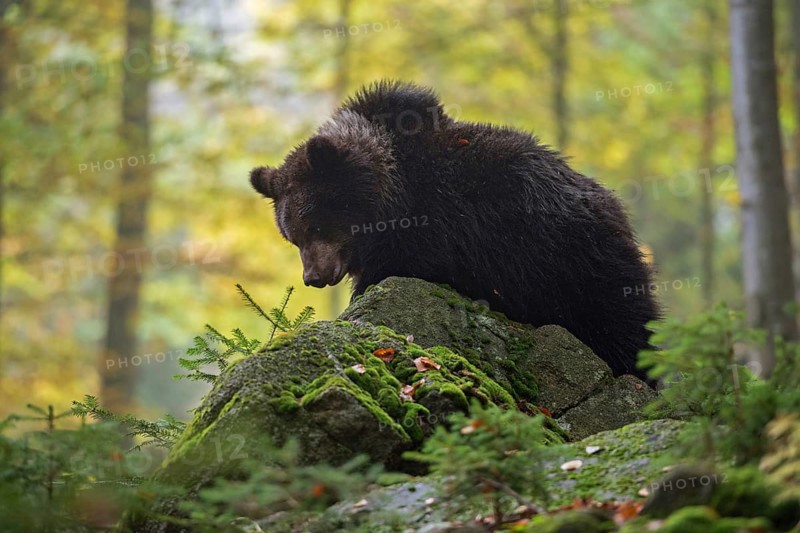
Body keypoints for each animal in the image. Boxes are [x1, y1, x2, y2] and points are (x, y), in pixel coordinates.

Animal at [250, 80, 660, 380]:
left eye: (317, 223)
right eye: (293, 237)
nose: (314, 277)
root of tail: (615, 207)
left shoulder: (439, 223)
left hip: (575, 254)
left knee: (622, 319)